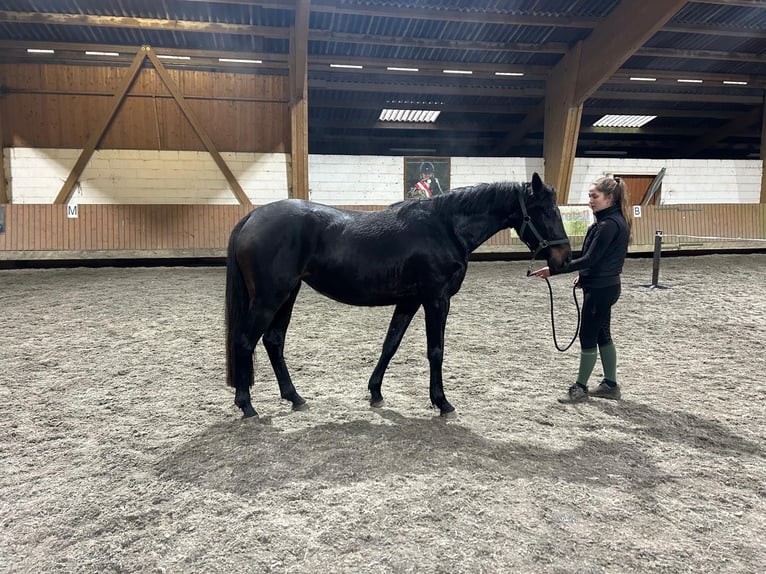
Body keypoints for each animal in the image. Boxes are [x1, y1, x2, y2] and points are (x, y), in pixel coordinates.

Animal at [225, 172, 571, 419]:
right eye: (546, 212)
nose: (564, 259)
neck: (444, 227)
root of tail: (251, 218)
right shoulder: (436, 299)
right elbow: (435, 351)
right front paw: (442, 402)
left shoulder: (409, 300)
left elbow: (390, 344)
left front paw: (375, 393)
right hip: (270, 298)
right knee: (245, 341)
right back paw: (247, 406)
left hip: (287, 295)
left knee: (273, 341)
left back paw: (295, 397)